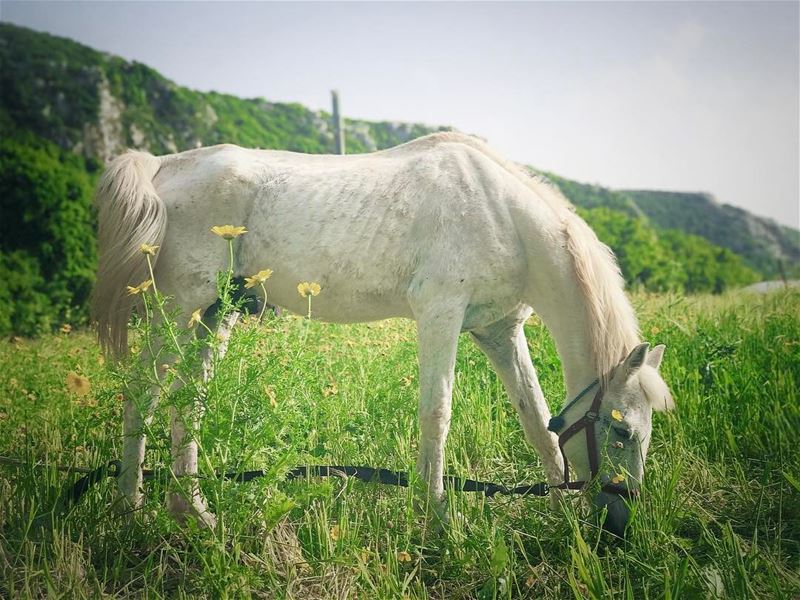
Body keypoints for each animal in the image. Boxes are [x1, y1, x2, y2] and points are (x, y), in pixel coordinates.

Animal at [90, 131, 672, 536]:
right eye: (622, 432)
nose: (618, 525)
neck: (502, 214)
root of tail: (164, 167)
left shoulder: (499, 331)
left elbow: (538, 420)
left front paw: (557, 510)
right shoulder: (440, 314)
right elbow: (437, 414)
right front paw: (435, 518)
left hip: (214, 315)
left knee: (188, 402)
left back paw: (193, 514)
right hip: (178, 310)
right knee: (141, 394)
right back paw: (129, 510)